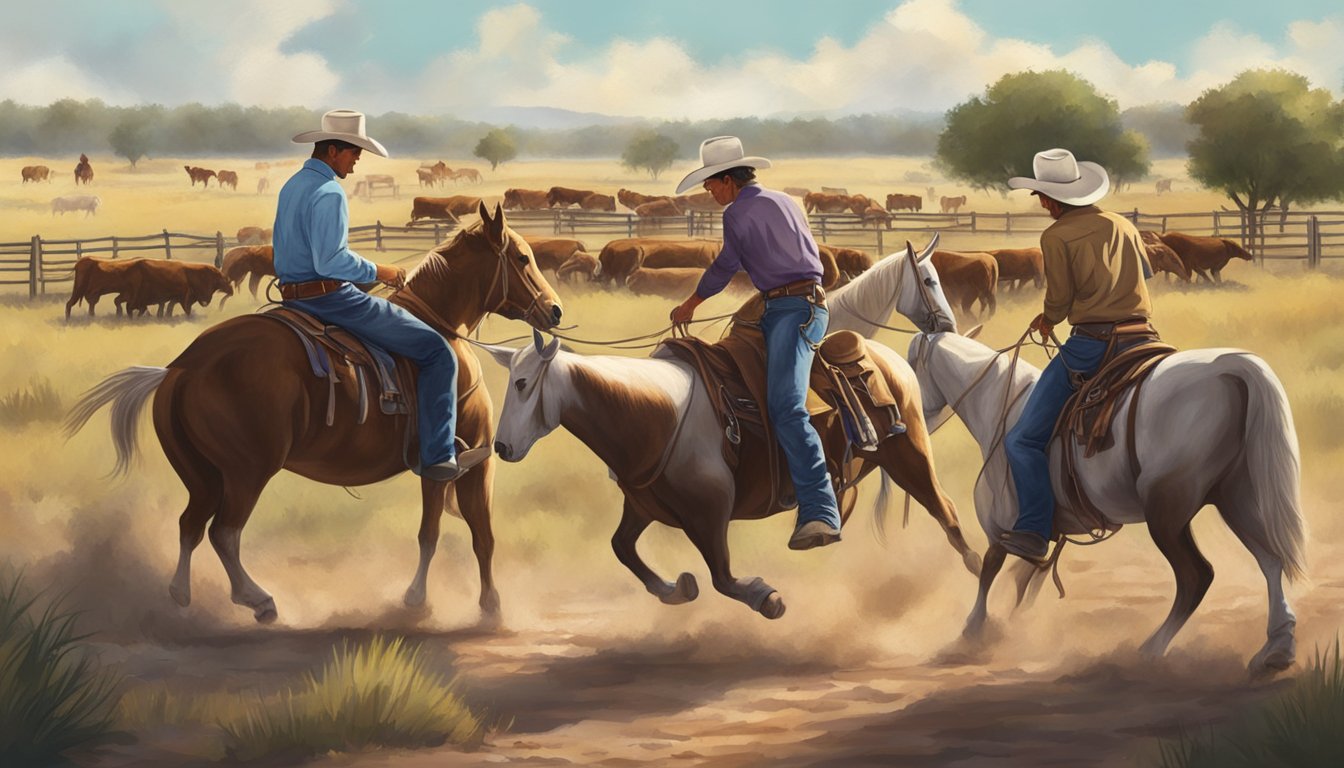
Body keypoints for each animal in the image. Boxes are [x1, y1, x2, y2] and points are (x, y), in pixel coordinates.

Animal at [66, 204, 561, 624]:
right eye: (522, 257)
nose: (554, 310)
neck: (442, 330)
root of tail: (182, 367)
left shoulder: (442, 468)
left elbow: (438, 531)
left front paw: (432, 600)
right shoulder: (466, 462)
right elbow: (470, 533)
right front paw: (480, 606)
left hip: (202, 473)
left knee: (191, 525)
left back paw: (181, 596)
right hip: (246, 472)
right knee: (224, 532)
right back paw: (258, 600)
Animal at [897, 299, 1306, 672]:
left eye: (908, 368)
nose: (908, 424)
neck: (1000, 404)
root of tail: (1235, 369)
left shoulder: (1004, 524)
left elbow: (990, 570)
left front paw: (972, 632)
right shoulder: (1046, 529)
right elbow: (1026, 579)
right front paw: (1009, 625)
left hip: (1168, 512)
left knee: (1197, 576)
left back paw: (1150, 650)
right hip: (1237, 496)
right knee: (1271, 559)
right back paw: (1277, 649)